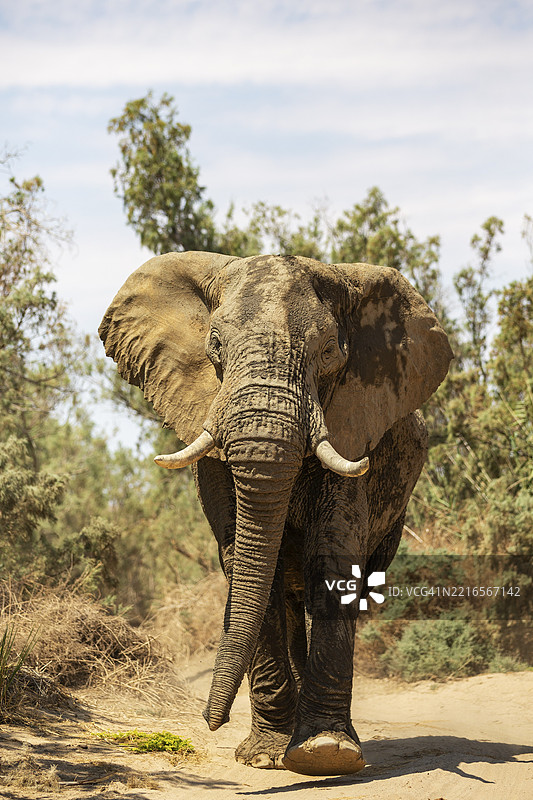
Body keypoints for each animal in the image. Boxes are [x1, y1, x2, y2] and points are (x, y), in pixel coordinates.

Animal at [99, 251, 452, 776]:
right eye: (215, 345)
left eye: (327, 351)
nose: (211, 722)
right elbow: (241, 561)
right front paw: (265, 756)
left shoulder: (351, 424)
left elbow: (332, 556)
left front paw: (326, 752)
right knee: (283, 590)